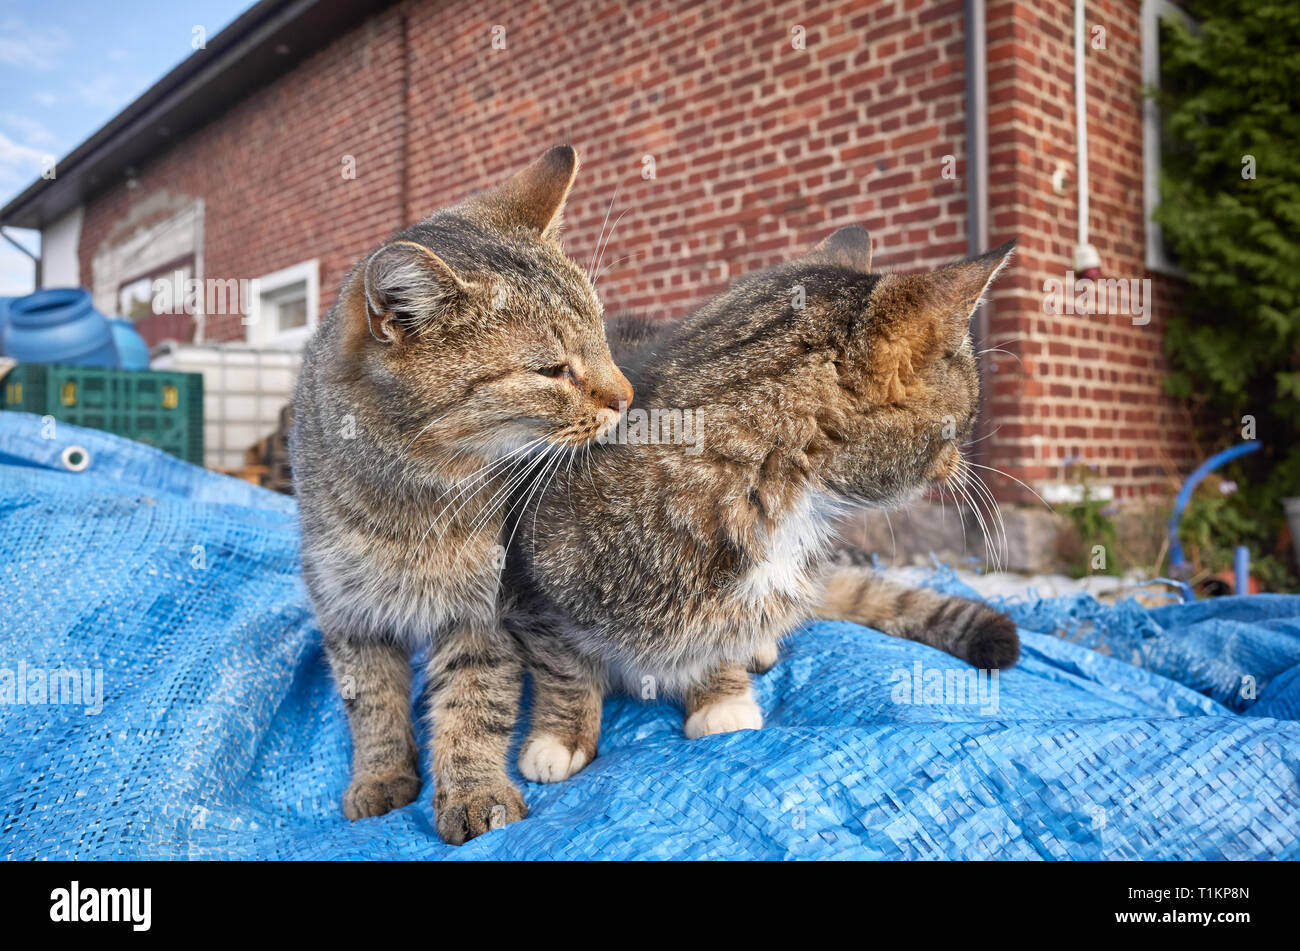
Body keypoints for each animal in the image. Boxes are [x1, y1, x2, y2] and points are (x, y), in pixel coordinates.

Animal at [296, 144, 639, 841]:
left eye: (602, 334)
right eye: (551, 370)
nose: (627, 397)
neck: (410, 499)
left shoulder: (486, 614)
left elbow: (473, 707)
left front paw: (474, 790)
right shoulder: (346, 611)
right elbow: (371, 702)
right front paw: (379, 776)